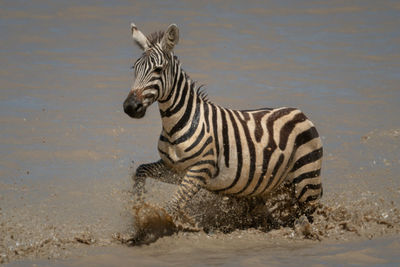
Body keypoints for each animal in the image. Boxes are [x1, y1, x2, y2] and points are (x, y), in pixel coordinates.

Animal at [123, 22, 324, 224]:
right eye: (134, 68)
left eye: (158, 69)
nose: (130, 107)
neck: (178, 124)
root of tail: (300, 112)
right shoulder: (173, 169)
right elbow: (141, 171)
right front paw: (137, 207)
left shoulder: (200, 169)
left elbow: (171, 206)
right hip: (280, 183)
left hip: (307, 180)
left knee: (312, 213)